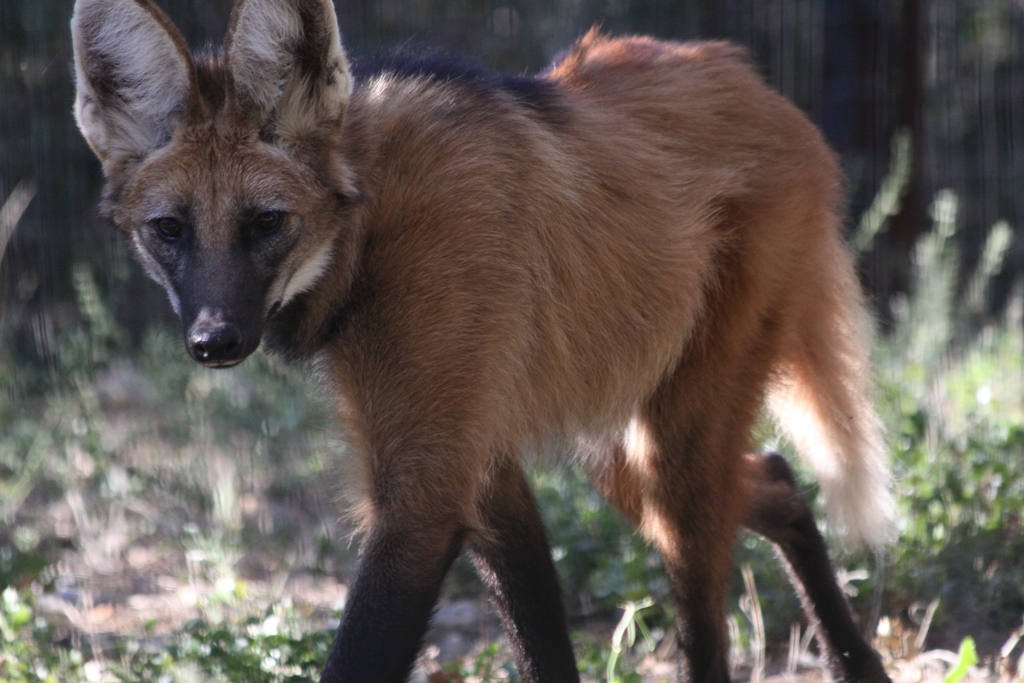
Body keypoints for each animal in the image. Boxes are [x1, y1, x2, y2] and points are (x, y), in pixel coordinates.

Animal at [71, 0, 895, 681]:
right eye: (169, 230)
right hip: (615, 440)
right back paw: (858, 663)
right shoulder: (481, 462)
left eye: (266, 222)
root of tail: (756, 83)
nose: (214, 339)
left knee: (706, 599)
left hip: (678, 431)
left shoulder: (425, 494)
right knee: (776, 479)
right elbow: (541, 643)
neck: (368, 229)